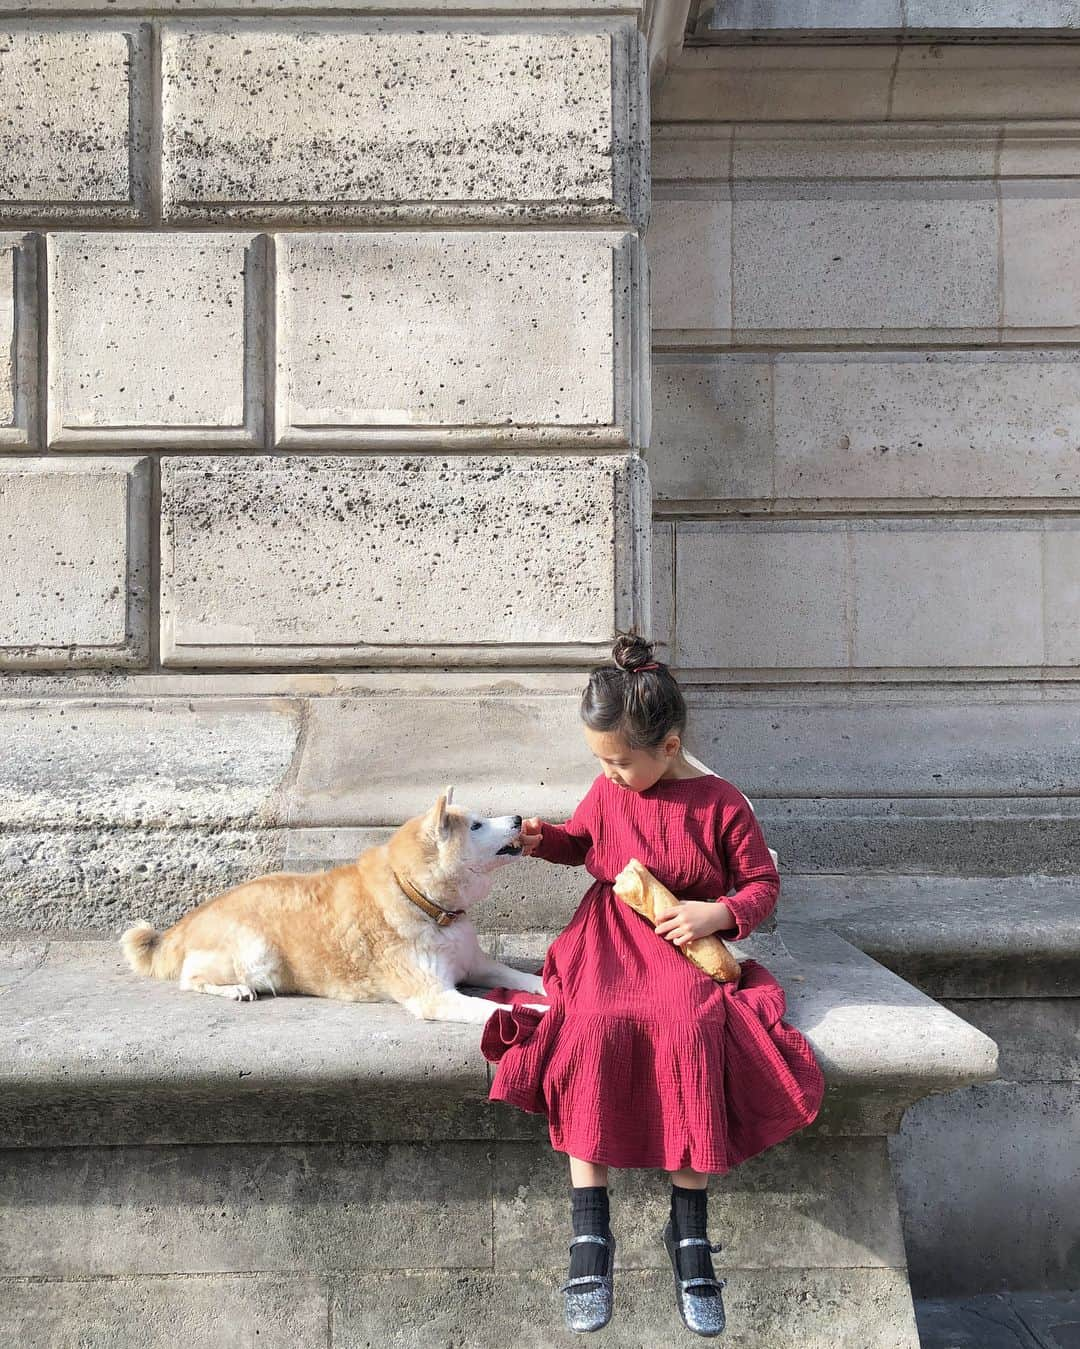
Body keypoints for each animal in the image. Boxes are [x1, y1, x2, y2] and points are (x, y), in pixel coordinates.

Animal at [120, 787, 547, 1025]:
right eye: (476, 825)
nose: (518, 818)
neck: (424, 904)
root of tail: (188, 921)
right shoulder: (434, 996)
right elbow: (501, 1011)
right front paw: (543, 1012)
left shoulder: (477, 965)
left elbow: (530, 980)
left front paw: (549, 991)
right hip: (256, 955)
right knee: (190, 977)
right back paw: (233, 990)